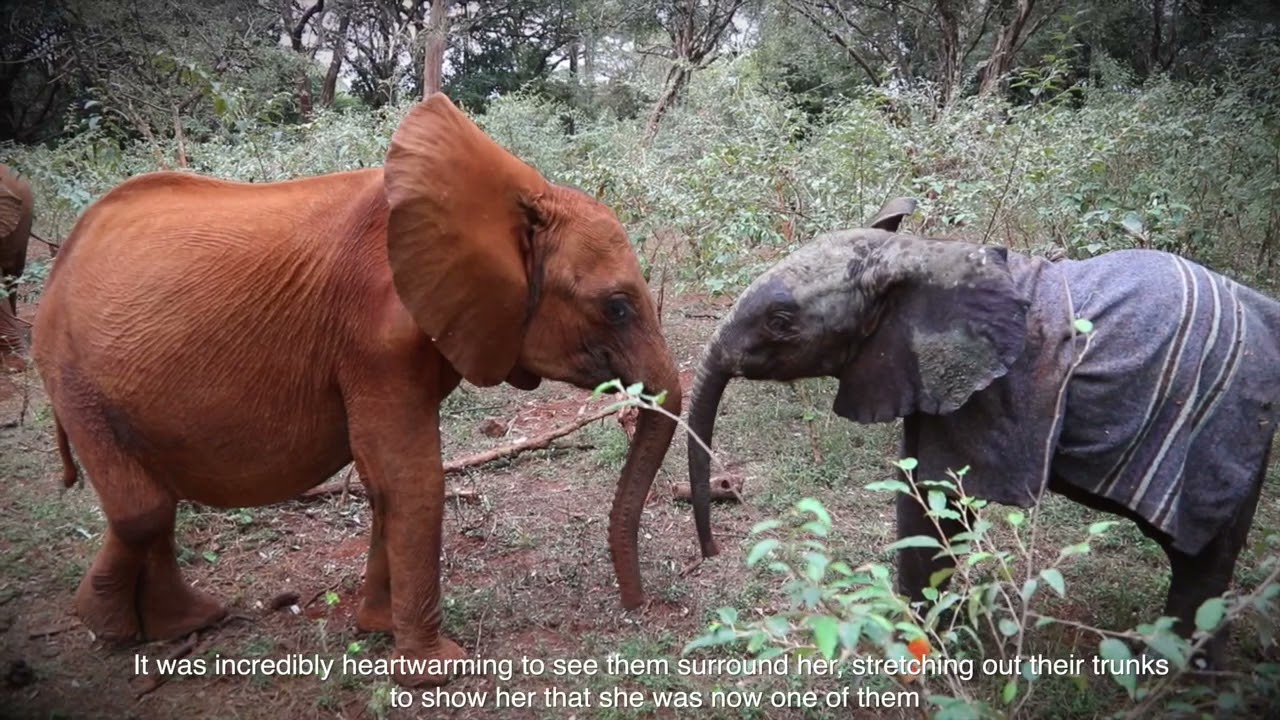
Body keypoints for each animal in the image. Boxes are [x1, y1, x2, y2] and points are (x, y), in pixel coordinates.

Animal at [32, 93, 683, 687]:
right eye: (617, 307)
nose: (635, 606)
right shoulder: (375, 338)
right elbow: (411, 477)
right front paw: (437, 671)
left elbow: (380, 478)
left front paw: (376, 627)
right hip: (73, 373)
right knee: (143, 510)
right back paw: (117, 628)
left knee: (152, 504)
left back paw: (184, 622)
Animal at [685, 197, 1280, 668]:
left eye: (780, 323)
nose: (712, 549)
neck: (925, 251)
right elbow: (918, 495)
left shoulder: (991, 398)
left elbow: (940, 502)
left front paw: (918, 652)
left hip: (1221, 427)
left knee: (1199, 559)